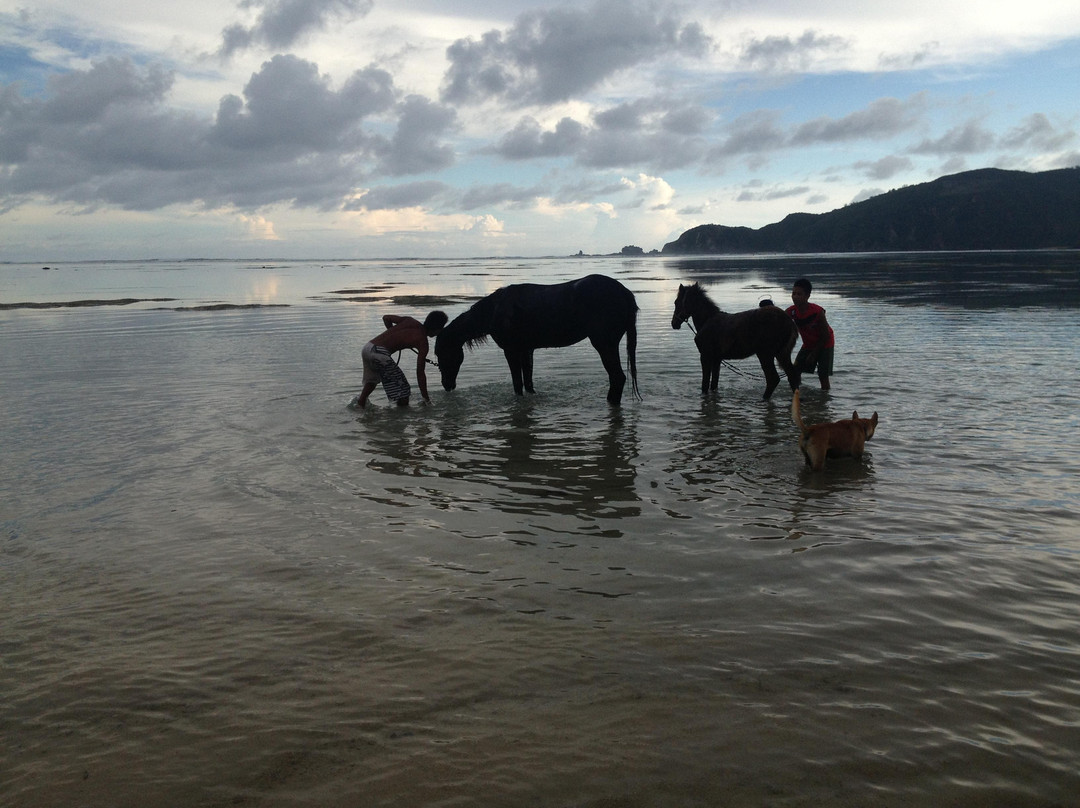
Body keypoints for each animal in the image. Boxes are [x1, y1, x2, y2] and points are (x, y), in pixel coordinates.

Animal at [435, 274, 640, 405]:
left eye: (439, 353)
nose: (446, 385)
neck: (494, 310)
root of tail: (624, 292)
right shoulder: (527, 349)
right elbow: (528, 381)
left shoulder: (511, 350)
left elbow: (518, 384)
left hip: (604, 344)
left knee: (617, 377)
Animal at [671, 282, 800, 400]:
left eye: (676, 302)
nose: (674, 324)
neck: (707, 320)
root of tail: (789, 322)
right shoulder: (717, 359)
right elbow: (714, 383)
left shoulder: (705, 356)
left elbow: (705, 385)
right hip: (782, 354)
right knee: (792, 376)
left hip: (765, 354)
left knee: (773, 379)